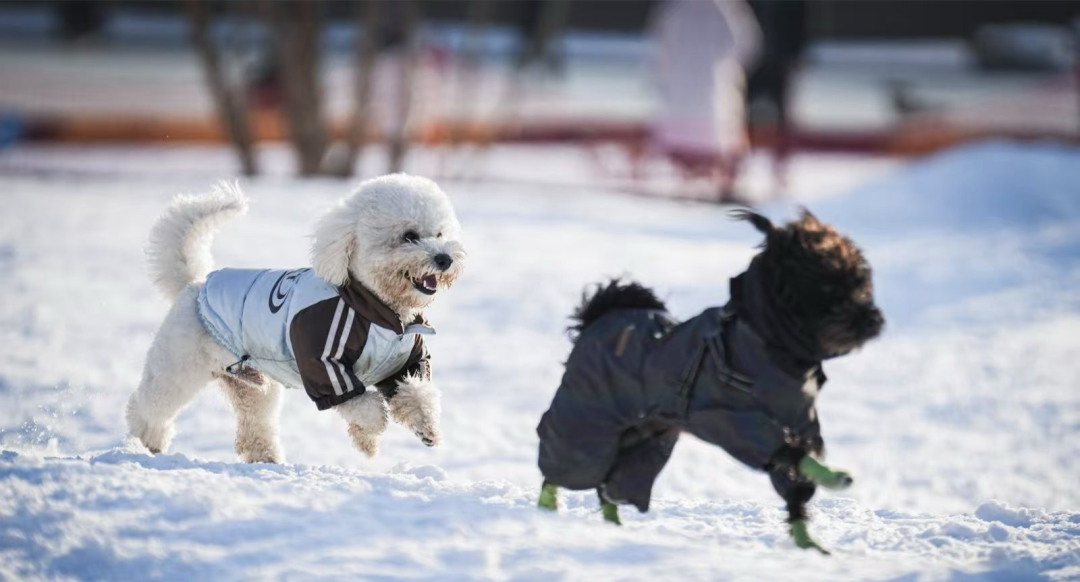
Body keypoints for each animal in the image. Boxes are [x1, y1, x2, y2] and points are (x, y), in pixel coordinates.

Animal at [125, 173, 464, 464]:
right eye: (409, 236)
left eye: (439, 234)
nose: (445, 259)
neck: (376, 309)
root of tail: (194, 285)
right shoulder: (323, 364)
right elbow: (365, 407)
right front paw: (367, 439)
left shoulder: (405, 362)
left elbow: (417, 392)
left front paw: (425, 428)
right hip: (177, 366)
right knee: (146, 405)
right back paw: (143, 443)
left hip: (253, 385)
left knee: (255, 423)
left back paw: (265, 457)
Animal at [537, 210, 885, 557]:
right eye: (828, 285)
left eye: (861, 282)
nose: (873, 318)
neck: (771, 345)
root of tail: (598, 316)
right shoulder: (726, 418)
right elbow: (787, 451)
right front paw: (833, 477)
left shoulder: (800, 420)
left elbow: (796, 471)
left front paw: (806, 539)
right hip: (587, 421)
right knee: (566, 467)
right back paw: (546, 509)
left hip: (643, 439)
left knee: (611, 485)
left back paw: (613, 525)